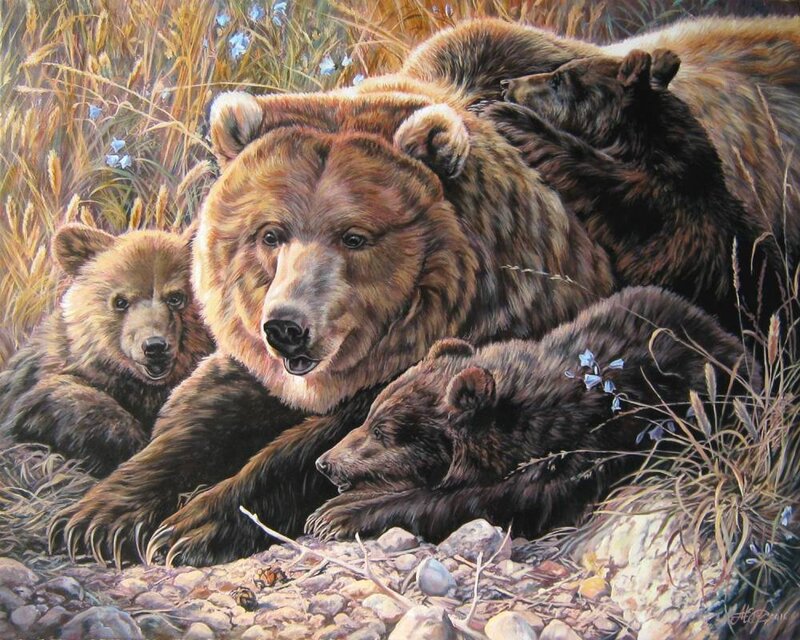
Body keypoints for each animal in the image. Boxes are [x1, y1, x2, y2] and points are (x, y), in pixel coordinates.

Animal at [49, 87, 614, 566]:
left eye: (354, 236)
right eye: (271, 233)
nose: (286, 327)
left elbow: (329, 445)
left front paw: (192, 525)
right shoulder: (258, 373)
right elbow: (200, 417)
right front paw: (97, 516)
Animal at [306, 286, 758, 542]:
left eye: (383, 431)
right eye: (369, 418)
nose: (324, 463)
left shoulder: (575, 447)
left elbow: (492, 501)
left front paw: (339, 515)